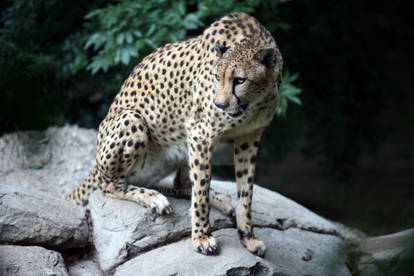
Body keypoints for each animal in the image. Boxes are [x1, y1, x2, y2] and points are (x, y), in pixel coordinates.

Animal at [66, 12, 284, 256]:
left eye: (240, 80)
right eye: (217, 77)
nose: (220, 104)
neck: (254, 102)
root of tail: (96, 164)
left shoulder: (250, 136)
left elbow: (245, 192)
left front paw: (248, 236)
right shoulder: (200, 133)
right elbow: (201, 192)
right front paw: (202, 238)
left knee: (182, 183)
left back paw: (221, 200)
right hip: (132, 119)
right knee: (109, 186)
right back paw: (154, 198)